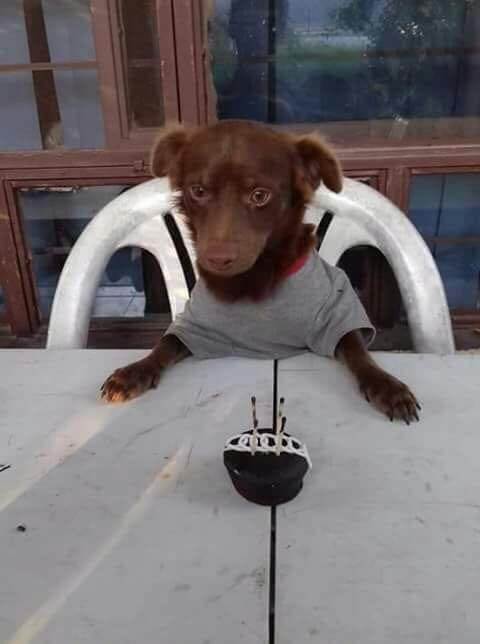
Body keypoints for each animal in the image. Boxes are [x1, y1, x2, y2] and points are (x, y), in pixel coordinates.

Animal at [101, 120, 420, 424]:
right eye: (198, 191)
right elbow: (165, 343)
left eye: (259, 195)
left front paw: (387, 387)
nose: (217, 259)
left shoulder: (335, 314)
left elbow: (357, 351)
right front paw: (134, 372)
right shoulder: (195, 326)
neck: (253, 279)